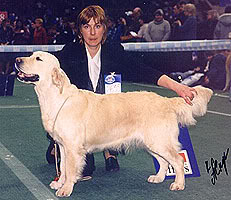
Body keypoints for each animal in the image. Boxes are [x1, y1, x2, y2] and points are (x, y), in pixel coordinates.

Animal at [14, 51, 213, 197]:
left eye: (38, 58)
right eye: (31, 55)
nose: (17, 59)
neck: (56, 97)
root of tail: (166, 101)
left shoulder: (72, 147)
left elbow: (70, 169)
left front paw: (66, 189)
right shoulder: (62, 146)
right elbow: (62, 168)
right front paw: (59, 183)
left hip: (159, 141)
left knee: (178, 160)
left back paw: (178, 184)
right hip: (152, 143)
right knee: (164, 162)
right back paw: (157, 178)